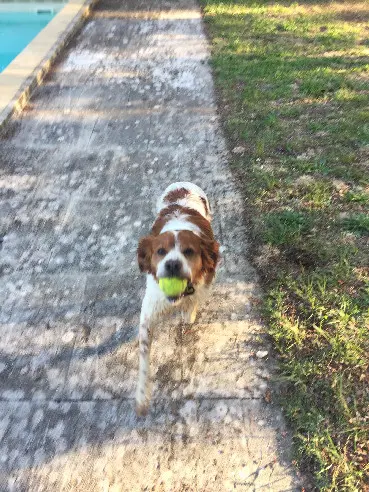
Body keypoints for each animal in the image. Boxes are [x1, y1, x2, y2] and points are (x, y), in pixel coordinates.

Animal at [137, 183, 220, 414]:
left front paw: (187, 314)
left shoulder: (202, 288)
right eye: (160, 251)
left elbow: (191, 307)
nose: (172, 264)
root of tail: (182, 185)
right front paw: (142, 396)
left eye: (189, 251)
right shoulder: (149, 311)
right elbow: (144, 355)